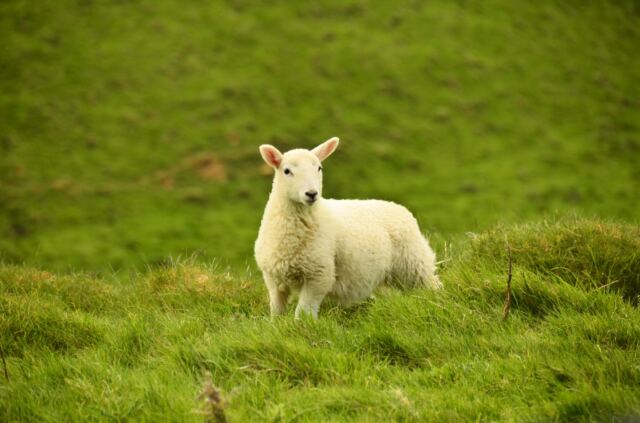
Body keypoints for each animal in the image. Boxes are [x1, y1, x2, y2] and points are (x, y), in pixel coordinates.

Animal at [254, 137, 441, 319]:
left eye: (319, 168)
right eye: (286, 171)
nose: (312, 194)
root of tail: (399, 207)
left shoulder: (319, 275)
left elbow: (303, 312)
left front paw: (302, 326)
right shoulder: (273, 279)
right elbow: (276, 310)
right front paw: (277, 324)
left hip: (413, 262)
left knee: (432, 284)